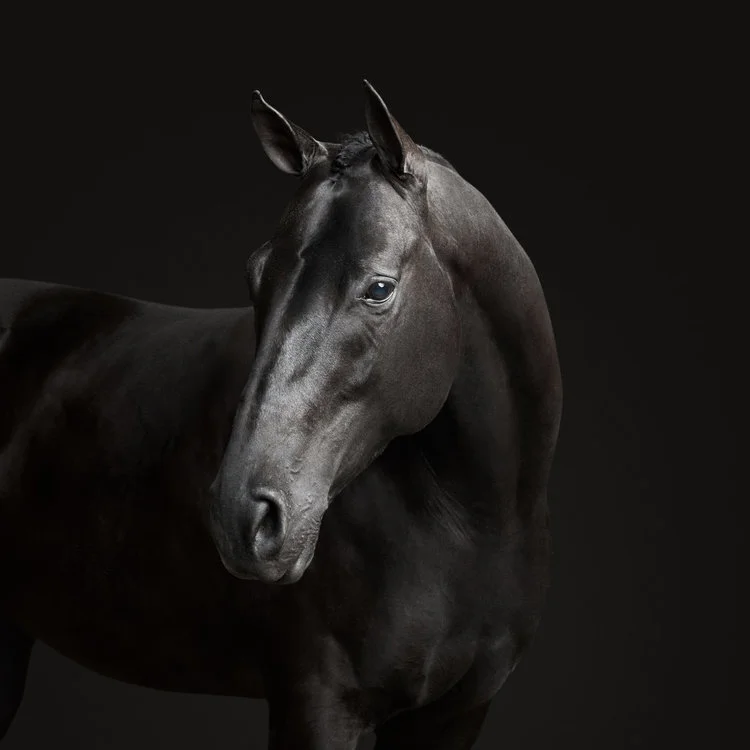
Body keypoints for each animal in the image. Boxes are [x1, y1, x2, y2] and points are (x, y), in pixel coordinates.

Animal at [0, 81, 562, 749]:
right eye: (256, 274)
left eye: (378, 288)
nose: (240, 515)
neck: (468, 522)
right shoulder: (320, 705)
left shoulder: (457, 714)